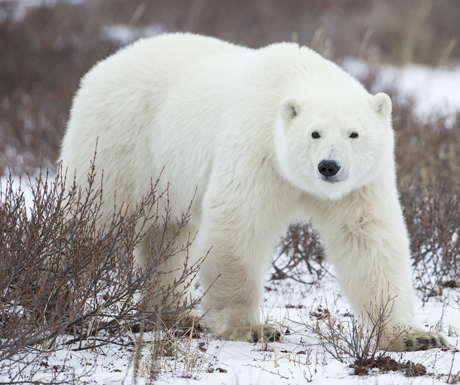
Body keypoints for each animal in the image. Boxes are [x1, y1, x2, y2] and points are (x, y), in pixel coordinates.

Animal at [59, 33, 448, 352]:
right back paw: (57, 298)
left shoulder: (360, 184)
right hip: (118, 145)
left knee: (167, 238)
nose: (329, 167)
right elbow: (239, 223)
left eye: (354, 133)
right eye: (314, 133)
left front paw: (414, 336)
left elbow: (368, 238)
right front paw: (253, 328)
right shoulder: (258, 149)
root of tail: (103, 67)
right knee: (90, 219)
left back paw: (174, 314)